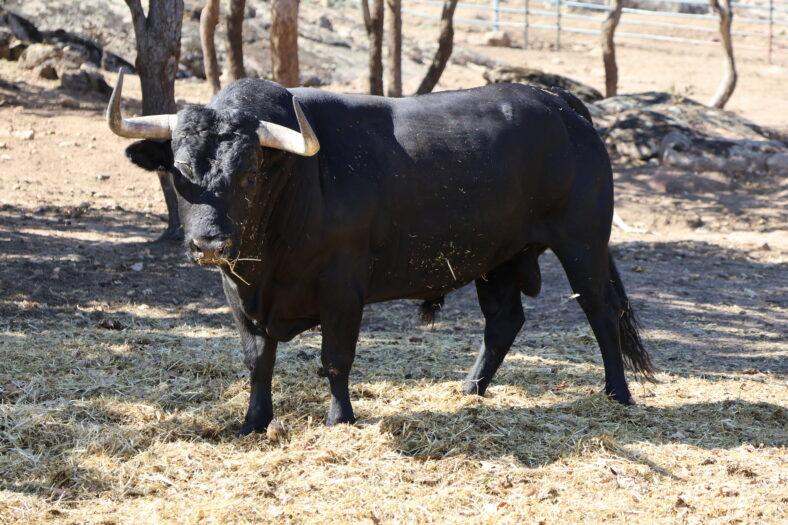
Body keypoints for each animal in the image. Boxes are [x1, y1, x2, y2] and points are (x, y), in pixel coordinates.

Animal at [107, 70, 654, 436]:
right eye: (179, 171)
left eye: (249, 174)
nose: (210, 243)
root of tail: (560, 101)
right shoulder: (238, 290)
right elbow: (257, 360)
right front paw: (253, 422)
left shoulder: (342, 286)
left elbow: (335, 358)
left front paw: (339, 418)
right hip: (497, 256)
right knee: (504, 321)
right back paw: (470, 390)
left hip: (582, 243)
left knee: (601, 311)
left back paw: (618, 394)